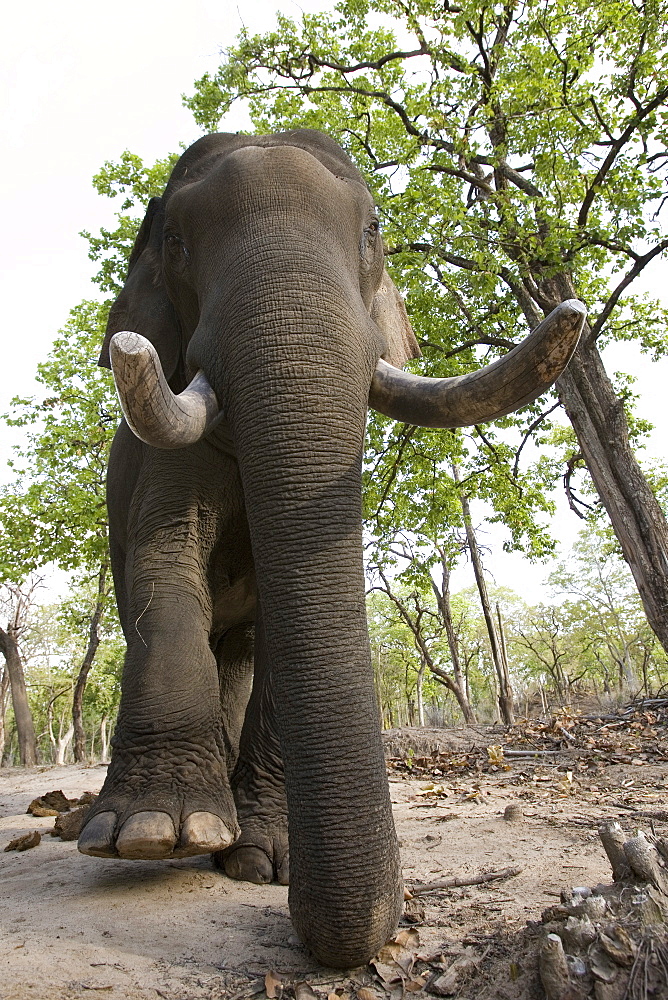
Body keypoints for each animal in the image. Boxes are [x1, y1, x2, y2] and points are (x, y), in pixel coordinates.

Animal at [79, 129, 584, 964]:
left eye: (374, 231)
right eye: (176, 241)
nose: (385, 922)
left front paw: (265, 860)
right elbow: (165, 559)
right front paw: (150, 834)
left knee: (243, 651)